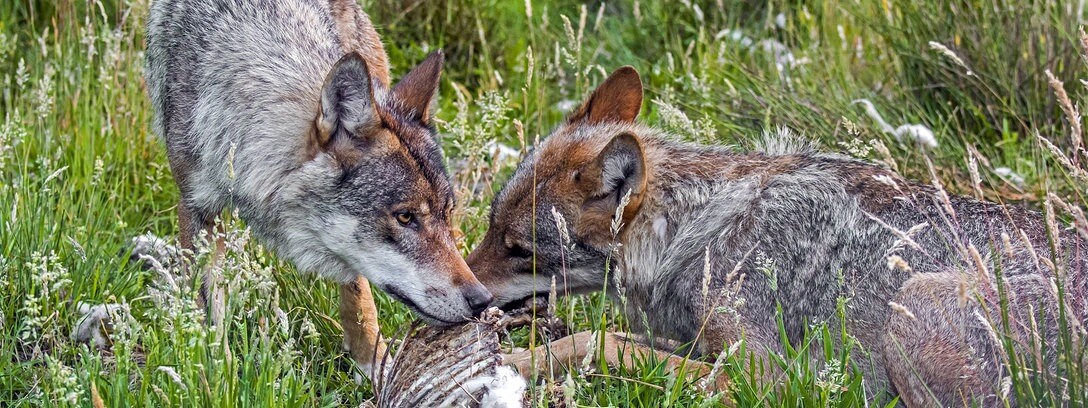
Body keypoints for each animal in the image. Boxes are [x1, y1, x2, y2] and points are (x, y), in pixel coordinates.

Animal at [144, 0, 493, 376]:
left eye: (446, 213)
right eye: (405, 217)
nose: (482, 300)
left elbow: (358, 294)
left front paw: (374, 364)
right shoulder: (196, 207)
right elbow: (209, 309)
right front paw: (215, 372)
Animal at [470, 66, 1088, 406]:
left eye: (519, 251)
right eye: (489, 230)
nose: (465, 295)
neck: (693, 232)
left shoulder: (767, 379)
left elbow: (602, 343)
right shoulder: (699, 343)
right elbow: (582, 340)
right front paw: (509, 367)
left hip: (913, 303)